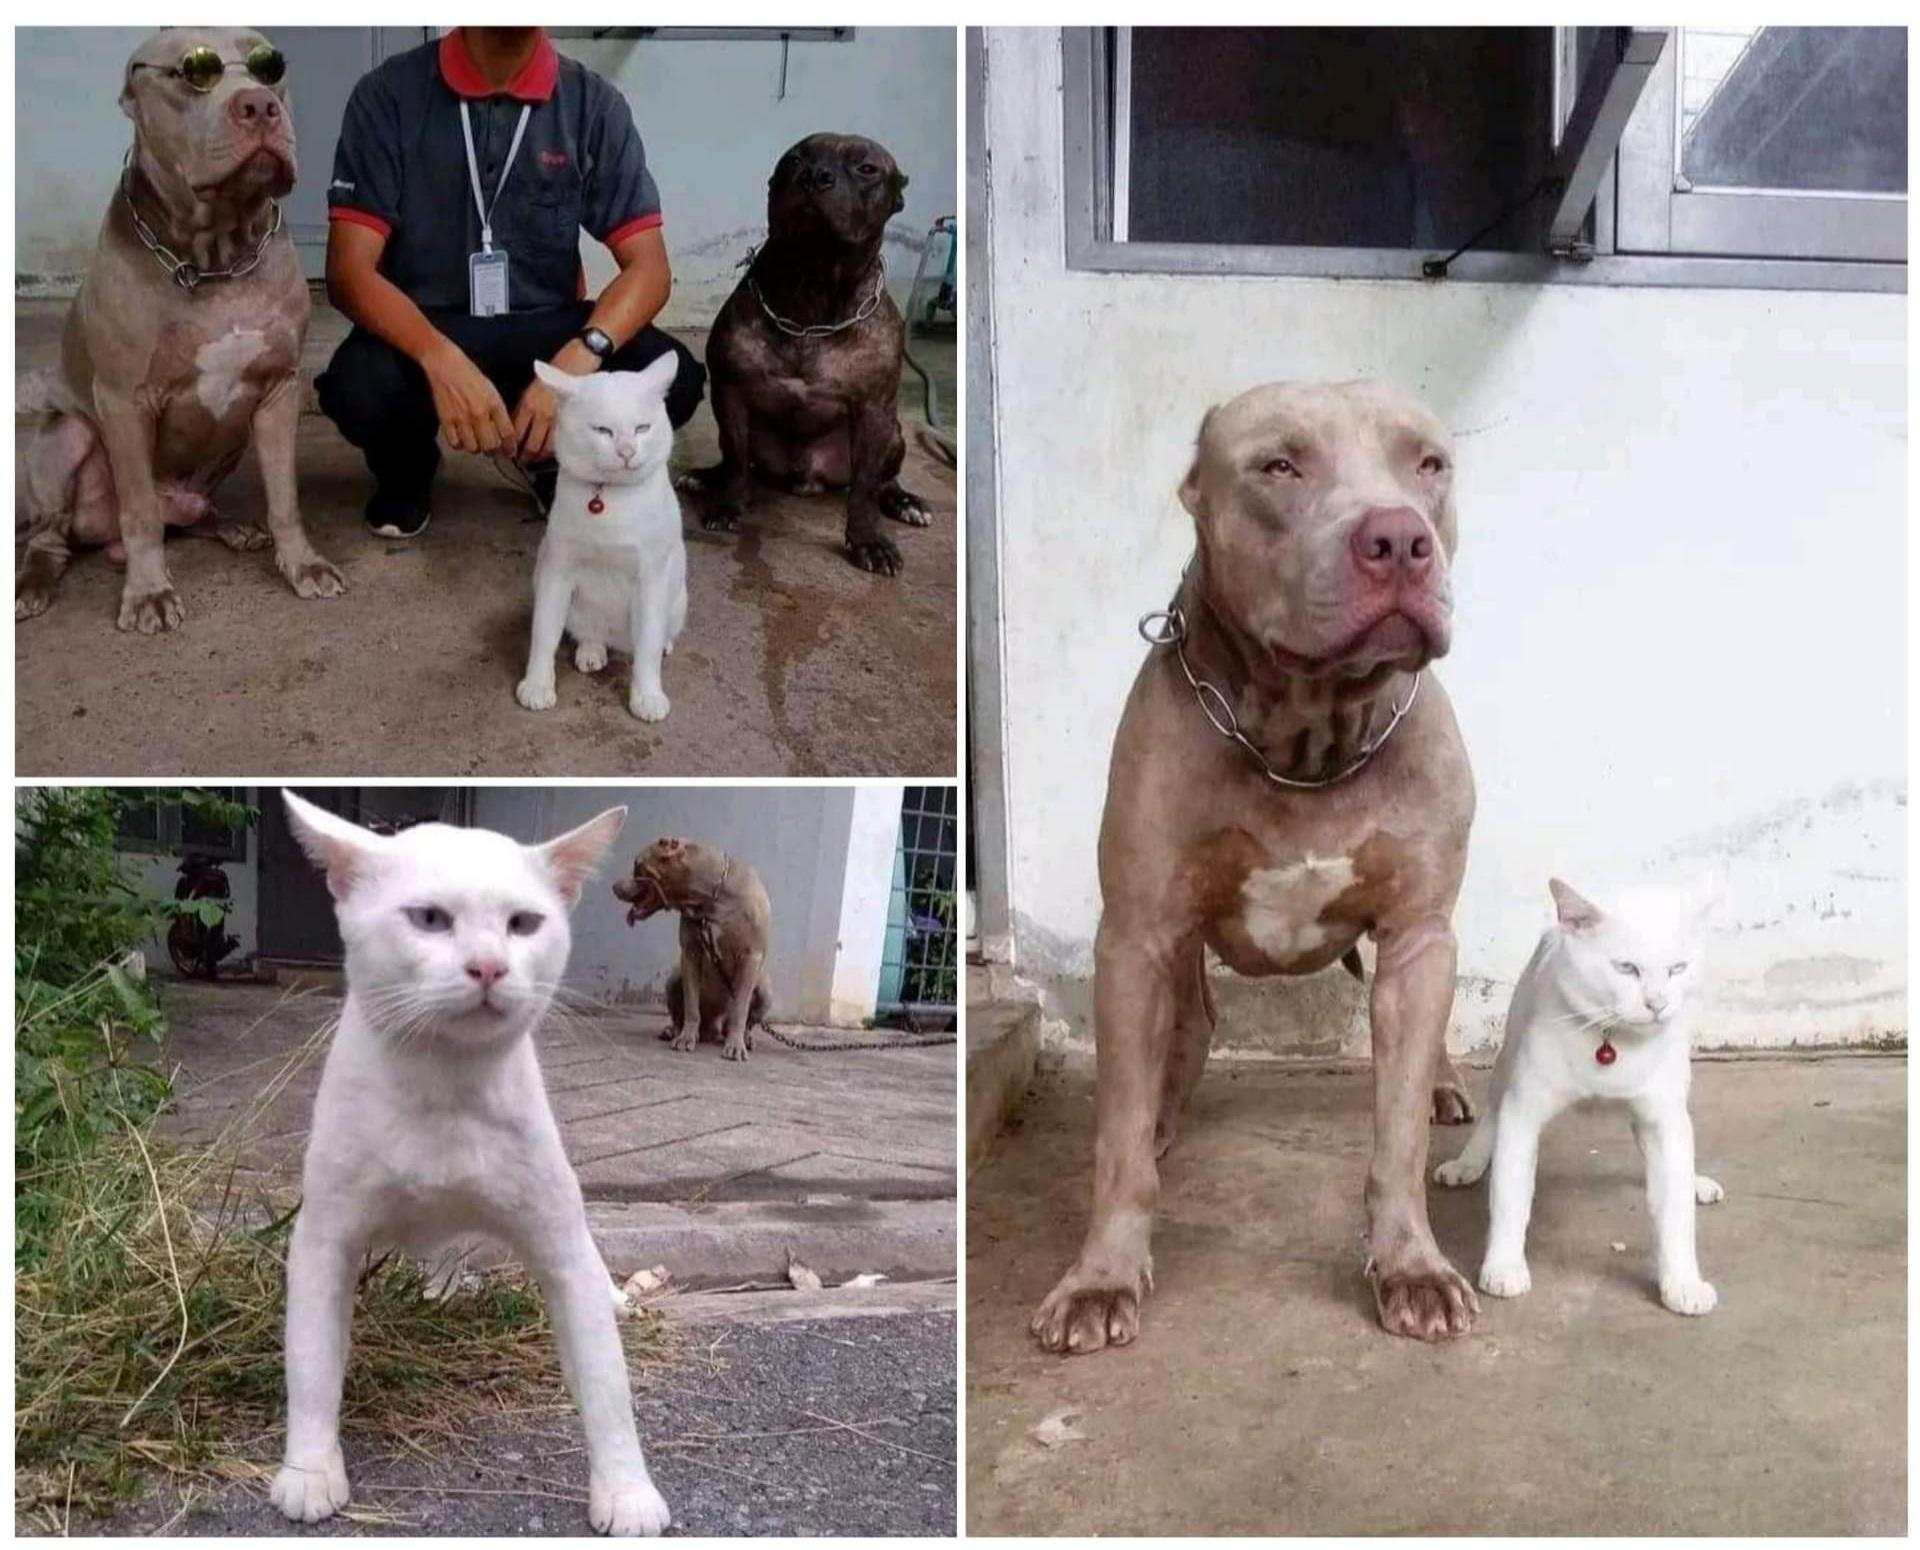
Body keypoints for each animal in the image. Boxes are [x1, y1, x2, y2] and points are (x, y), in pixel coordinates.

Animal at [270, 795, 672, 1536]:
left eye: (523, 924)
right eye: (430, 919)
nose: (488, 966)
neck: (446, 1090)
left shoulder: (559, 1246)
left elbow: (607, 1385)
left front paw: (627, 1490)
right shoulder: (323, 1239)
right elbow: (309, 1364)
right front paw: (309, 1472)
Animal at [514, 357, 687, 726]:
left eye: (642, 428)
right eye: (603, 431)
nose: (626, 451)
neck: (609, 497)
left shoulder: (651, 576)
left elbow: (648, 642)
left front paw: (647, 695)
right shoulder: (557, 570)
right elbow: (544, 632)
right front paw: (537, 684)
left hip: (678, 598)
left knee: (658, 634)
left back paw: (663, 645)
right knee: (591, 631)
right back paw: (592, 650)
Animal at [1428, 879, 1728, 1313]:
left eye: (1678, 968)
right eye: (1626, 968)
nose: (1657, 1004)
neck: (1612, 1040)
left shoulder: (1664, 1119)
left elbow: (1675, 1209)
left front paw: (1683, 1282)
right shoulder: (1522, 1112)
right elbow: (1511, 1197)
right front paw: (1503, 1266)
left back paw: (1696, 1181)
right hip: (1509, 1056)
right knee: (1492, 1114)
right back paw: (1467, 1163)